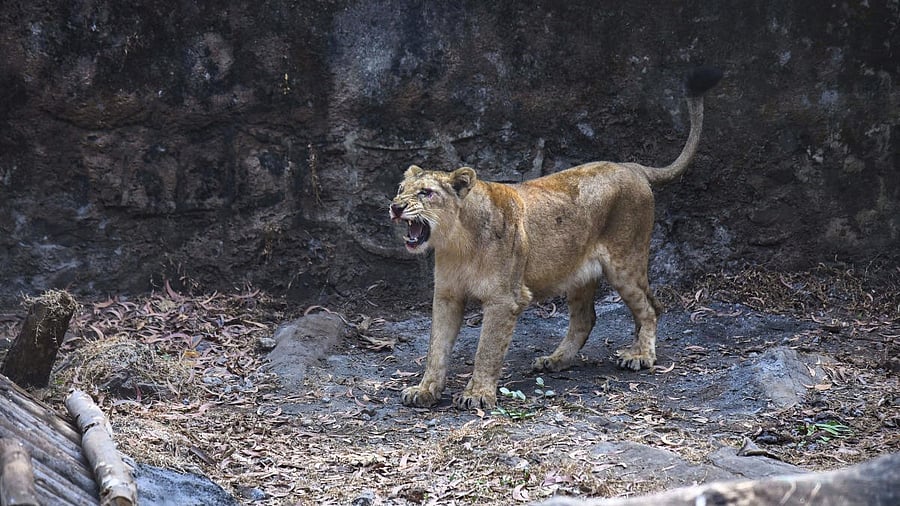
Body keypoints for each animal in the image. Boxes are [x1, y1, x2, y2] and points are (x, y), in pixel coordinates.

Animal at [389, 67, 722, 410]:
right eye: (401, 189)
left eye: (425, 193)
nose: (395, 207)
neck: (457, 242)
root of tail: (631, 166)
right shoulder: (447, 295)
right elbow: (436, 348)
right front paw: (425, 390)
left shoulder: (505, 298)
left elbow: (487, 349)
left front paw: (477, 394)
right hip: (578, 273)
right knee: (585, 318)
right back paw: (555, 360)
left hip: (625, 262)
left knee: (651, 306)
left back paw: (640, 355)